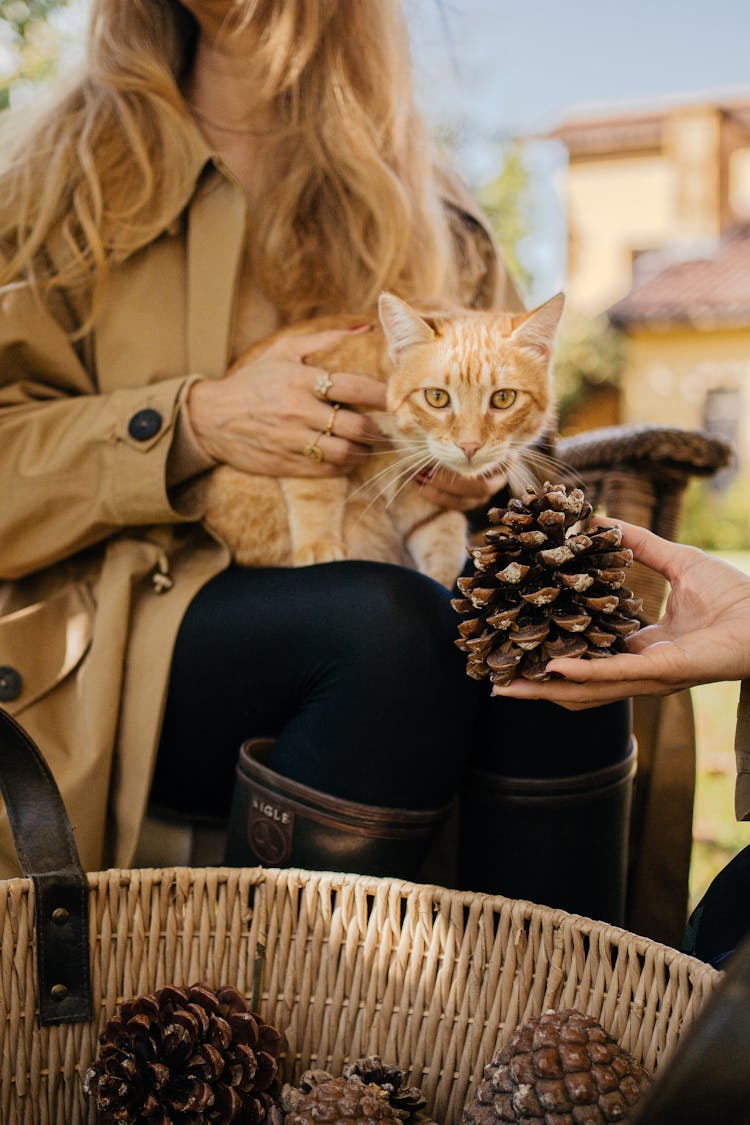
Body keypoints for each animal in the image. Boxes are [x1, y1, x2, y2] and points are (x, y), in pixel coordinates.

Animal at [199, 290, 562, 589]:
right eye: (437, 398)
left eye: (503, 398)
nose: (469, 446)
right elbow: (315, 489)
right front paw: (319, 544)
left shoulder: (425, 501)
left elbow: (441, 542)